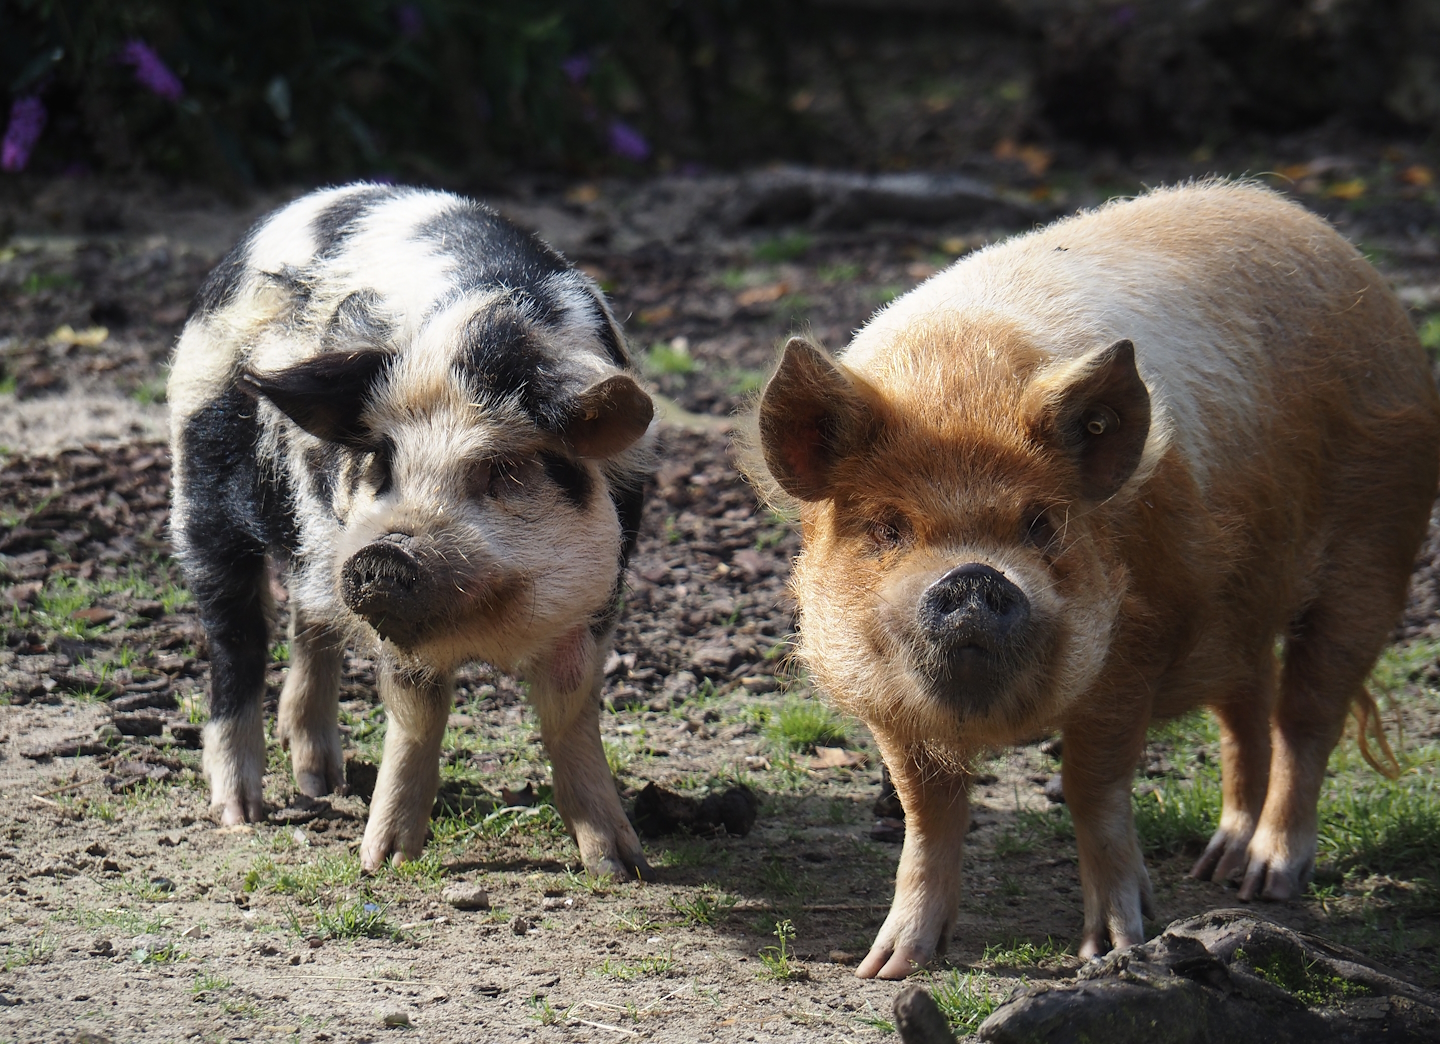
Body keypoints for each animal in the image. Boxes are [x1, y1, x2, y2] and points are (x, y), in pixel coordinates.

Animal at [168, 183, 655, 877]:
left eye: (503, 468)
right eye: (380, 459)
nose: (384, 551)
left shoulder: (598, 600)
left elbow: (569, 716)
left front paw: (620, 866)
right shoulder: (396, 621)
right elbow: (417, 716)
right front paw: (384, 862)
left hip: (316, 549)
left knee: (309, 620)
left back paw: (321, 780)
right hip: (200, 491)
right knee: (234, 638)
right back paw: (242, 814)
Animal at [749, 181, 1440, 978]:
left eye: (1041, 524)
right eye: (887, 528)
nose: (972, 577)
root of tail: (1345, 253)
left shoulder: (1135, 641)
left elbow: (1093, 785)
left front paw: (1114, 948)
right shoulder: (886, 696)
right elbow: (927, 808)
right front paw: (889, 966)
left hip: (1378, 545)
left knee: (1307, 713)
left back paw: (1267, 884)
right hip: (1240, 606)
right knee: (1249, 705)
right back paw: (1218, 868)